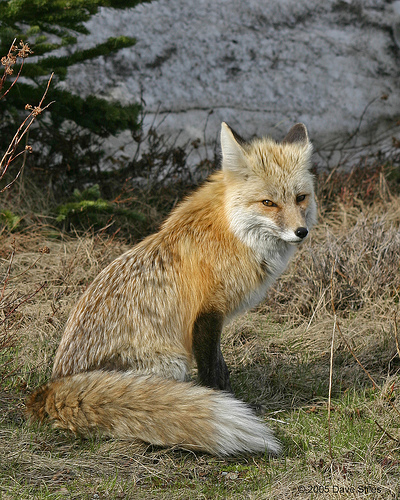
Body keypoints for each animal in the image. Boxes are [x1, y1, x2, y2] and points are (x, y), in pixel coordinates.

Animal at [26, 122, 318, 458]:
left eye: (300, 198)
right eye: (268, 203)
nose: (301, 232)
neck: (233, 232)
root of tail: (51, 388)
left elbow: (221, 366)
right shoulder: (207, 314)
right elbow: (212, 372)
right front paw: (222, 400)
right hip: (173, 362)